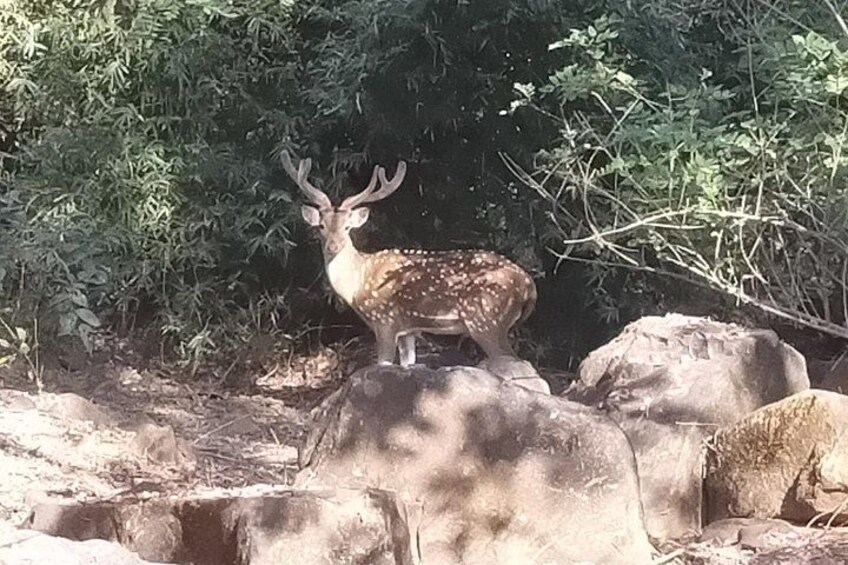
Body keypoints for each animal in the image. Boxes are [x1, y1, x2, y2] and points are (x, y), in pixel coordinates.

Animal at [281, 150, 537, 367]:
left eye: (347, 227)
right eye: (321, 226)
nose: (333, 246)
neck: (358, 282)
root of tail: (528, 284)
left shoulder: (384, 319)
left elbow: (383, 364)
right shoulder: (408, 330)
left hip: (486, 320)